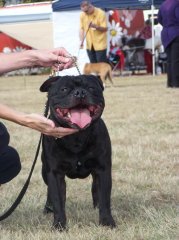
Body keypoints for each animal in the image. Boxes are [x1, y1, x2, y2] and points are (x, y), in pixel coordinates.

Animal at [39, 75, 115, 231]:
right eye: (64, 89)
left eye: (91, 88)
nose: (80, 92)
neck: (77, 136)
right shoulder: (54, 173)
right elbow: (58, 200)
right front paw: (59, 225)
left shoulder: (103, 169)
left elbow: (105, 198)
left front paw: (106, 222)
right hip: (44, 171)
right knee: (50, 192)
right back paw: (48, 208)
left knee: (95, 188)